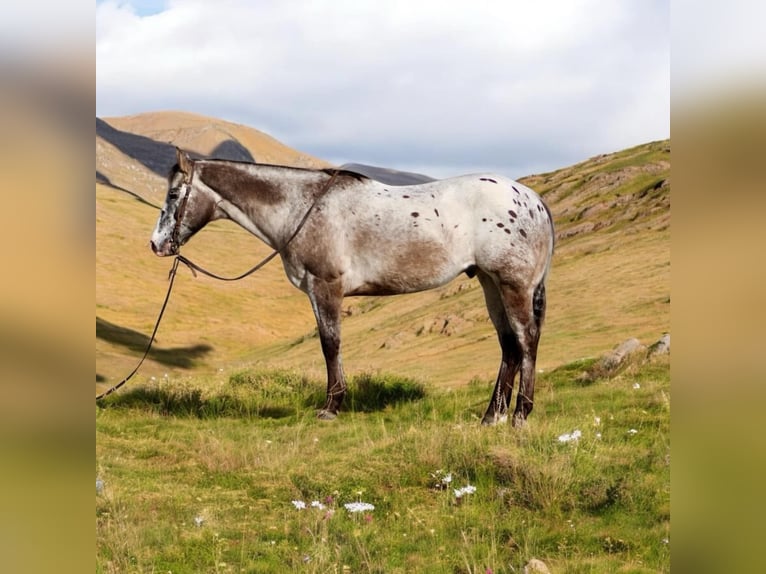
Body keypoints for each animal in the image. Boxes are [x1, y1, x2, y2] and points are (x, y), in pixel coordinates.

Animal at [151, 148, 555, 426]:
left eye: (173, 196)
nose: (156, 244)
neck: (303, 208)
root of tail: (532, 199)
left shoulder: (325, 287)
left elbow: (330, 344)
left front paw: (332, 406)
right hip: (490, 283)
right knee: (509, 346)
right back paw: (492, 416)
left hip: (513, 285)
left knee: (526, 339)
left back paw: (520, 415)